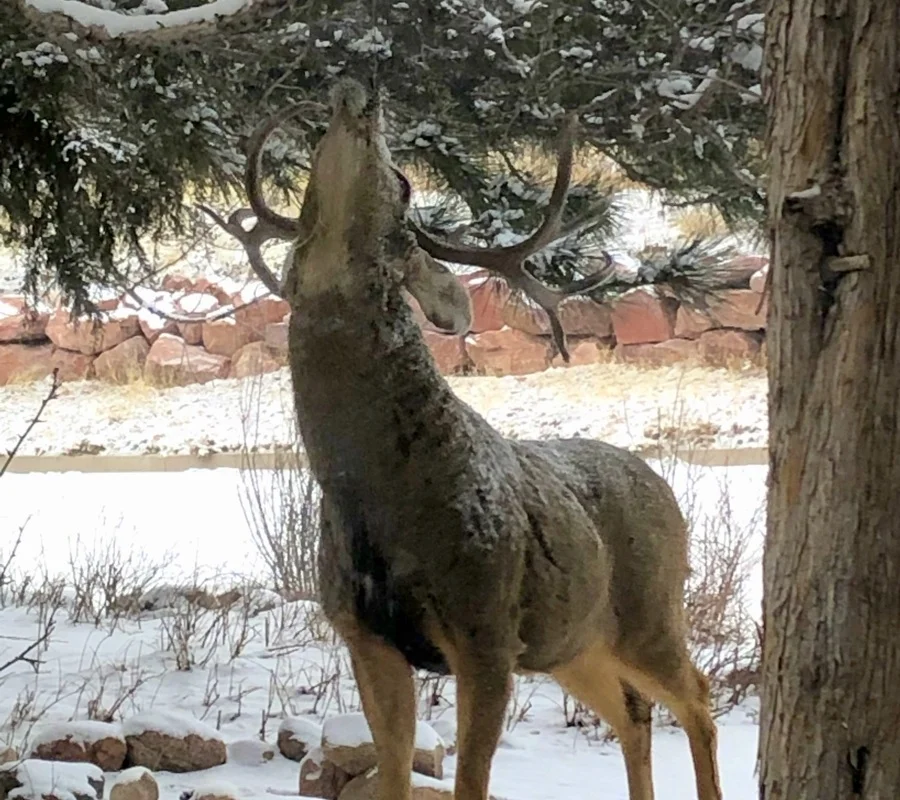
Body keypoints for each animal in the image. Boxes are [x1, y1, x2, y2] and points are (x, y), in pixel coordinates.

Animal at [211, 78, 723, 800]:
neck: (380, 500)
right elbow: (393, 774)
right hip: (573, 643)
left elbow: (470, 783)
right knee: (634, 711)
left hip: (648, 610)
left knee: (697, 697)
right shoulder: (363, 636)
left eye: (401, 183)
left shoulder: (485, 631)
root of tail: (664, 487)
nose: (358, 90)